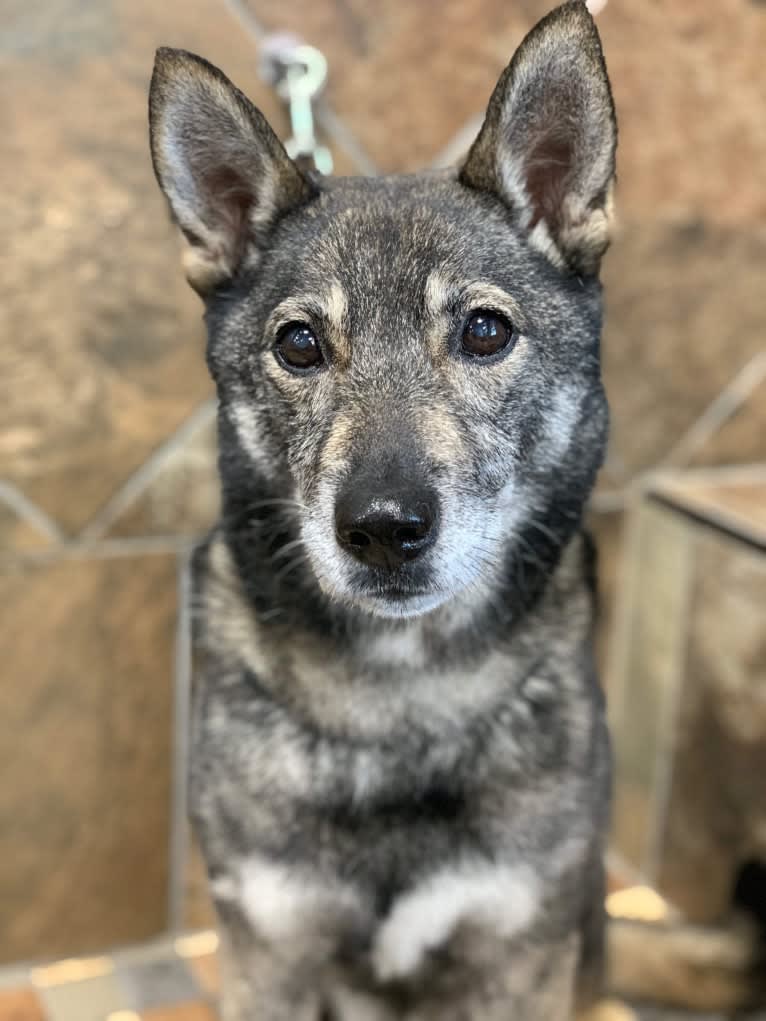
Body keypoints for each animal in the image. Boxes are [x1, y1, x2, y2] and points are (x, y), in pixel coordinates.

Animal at [151, 3, 625, 1016]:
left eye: (485, 331)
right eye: (299, 344)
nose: (382, 528)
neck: (400, 696)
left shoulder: (520, 955)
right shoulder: (268, 952)